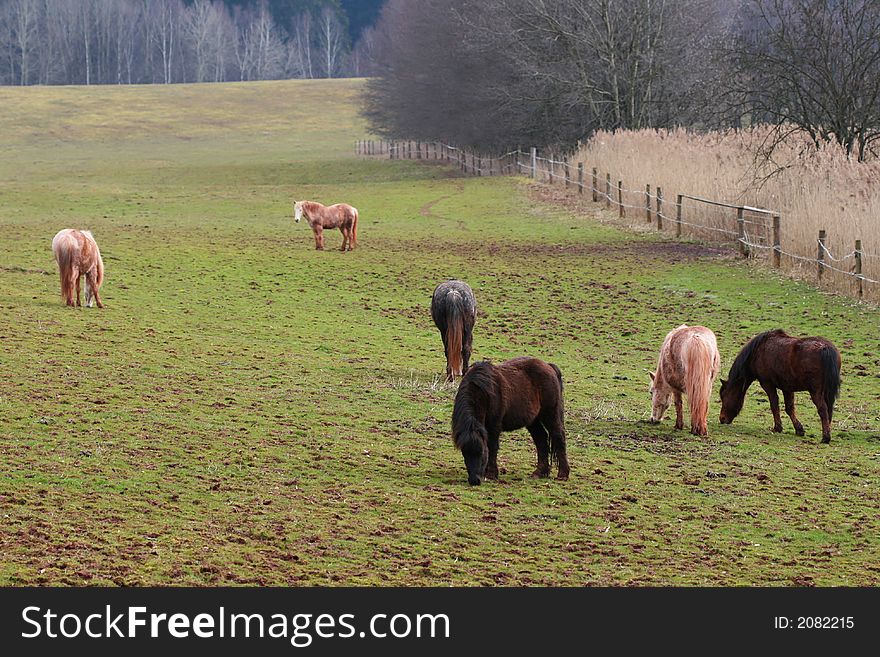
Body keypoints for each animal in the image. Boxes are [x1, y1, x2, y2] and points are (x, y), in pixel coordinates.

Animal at [450, 356, 568, 484]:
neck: (483, 392)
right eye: (465, 453)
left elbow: (492, 446)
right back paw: (539, 472)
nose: (474, 480)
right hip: (533, 421)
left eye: (481, 452)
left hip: (550, 415)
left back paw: (563, 474)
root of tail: (549, 366)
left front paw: (491, 474)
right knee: (541, 440)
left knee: (558, 437)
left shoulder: (494, 426)